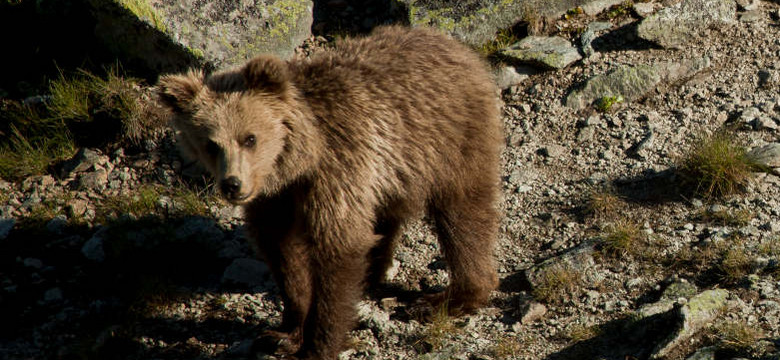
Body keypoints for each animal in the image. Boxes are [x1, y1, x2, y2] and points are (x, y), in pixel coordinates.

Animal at [156, 26, 502, 360]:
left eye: (249, 138)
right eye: (210, 144)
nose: (233, 184)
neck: (298, 160)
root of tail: (454, 44)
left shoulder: (336, 169)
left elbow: (339, 248)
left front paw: (317, 345)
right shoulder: (277, 198)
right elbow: (282, 251)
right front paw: (285, 332)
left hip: (448, 138)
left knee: (462, 213)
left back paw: (447, 297)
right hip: (396, 167)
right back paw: (374, 271)